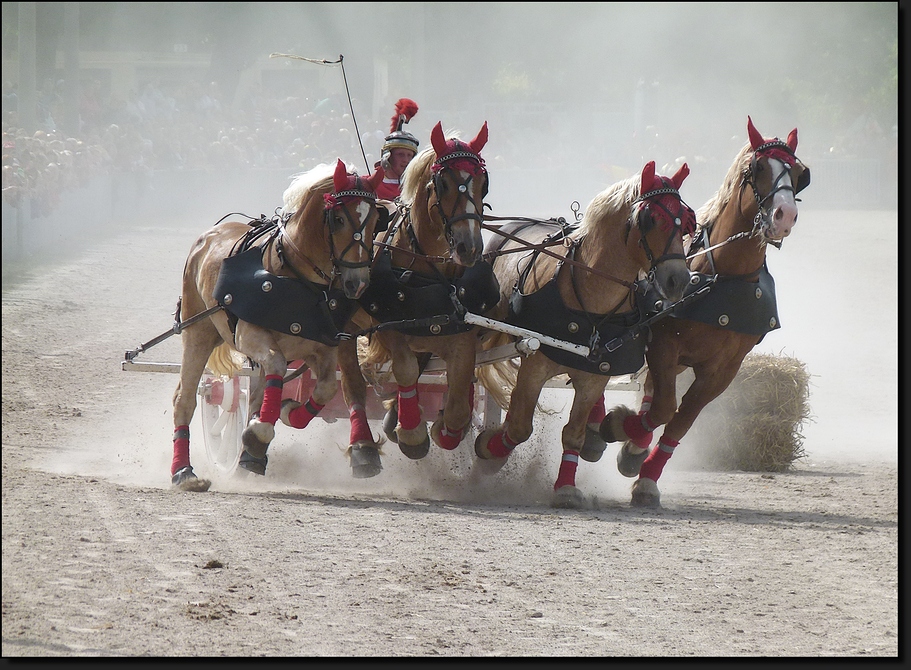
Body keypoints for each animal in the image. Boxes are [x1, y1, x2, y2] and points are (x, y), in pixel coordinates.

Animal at [170, 159, 384, 494]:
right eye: (337, 219)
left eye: (375, 219)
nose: (357, 283)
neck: (297, 280)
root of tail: (210, 234)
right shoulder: (251, 335)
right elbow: (278, 364)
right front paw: (260, 432)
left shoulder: (322, 348)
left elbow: (326, 388)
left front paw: (283, 413)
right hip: (198, 332)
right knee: (185, 398)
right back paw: (184, 473)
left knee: (257, 394)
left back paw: (248, 456)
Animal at [332, 122, 496, 478]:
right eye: (443, 182)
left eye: (484, 183)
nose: (469, 247)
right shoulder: (390, 326)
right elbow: (405, 371)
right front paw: (413, 434)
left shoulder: (461, 333)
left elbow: (459, 401)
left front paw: (445, 430)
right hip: (346, 328)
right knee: (352, 383)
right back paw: (364, 447)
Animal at [474, 161, 696, 510]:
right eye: (651, 219)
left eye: (686, 223)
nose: (678, 280)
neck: (591, 296)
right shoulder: (535, 365)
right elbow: (520, 427)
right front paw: (489, 450)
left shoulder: (595, 376)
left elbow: (573, 433)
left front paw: (566, 487)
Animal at [604, 119, 812, 510]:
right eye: (756, 168)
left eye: (798, 173)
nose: (785, 215)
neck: (724, 279)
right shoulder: (663, 347)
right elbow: (664, 409)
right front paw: (615, 428)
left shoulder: (723, 369)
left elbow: (681, 420)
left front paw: (646, 477)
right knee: (655, 397)